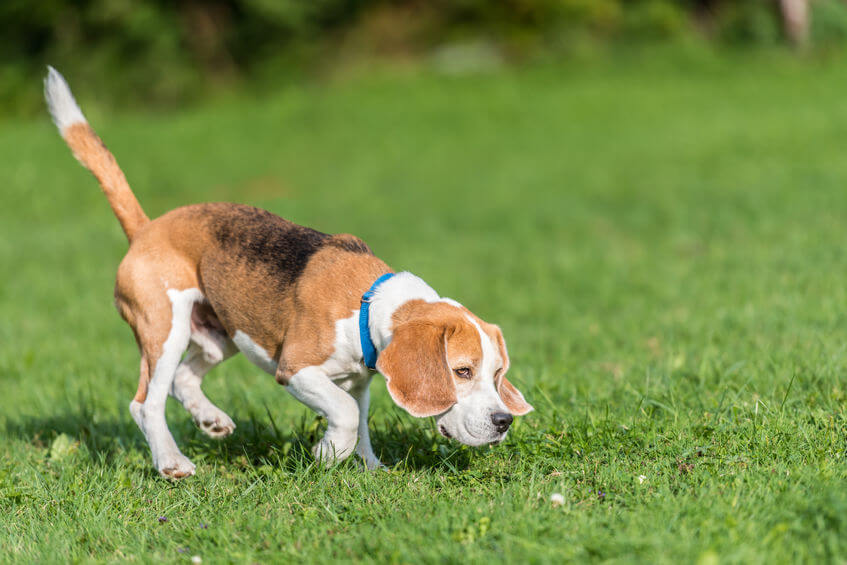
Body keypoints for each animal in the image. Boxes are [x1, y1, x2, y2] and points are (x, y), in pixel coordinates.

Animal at [43, 68, 532, 478]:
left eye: (496, 374)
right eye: (462, 371)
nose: (503, 421)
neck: (366, 304)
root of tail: (146, 228)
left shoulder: (360, 380)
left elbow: (361, 418)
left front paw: (369, 467)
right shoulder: (297, 368)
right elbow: (346, 414)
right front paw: (329, 454)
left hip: (224, 333)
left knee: (184, 379)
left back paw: (211, 420)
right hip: (165, 328)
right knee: (145, 403)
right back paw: (171, 462)